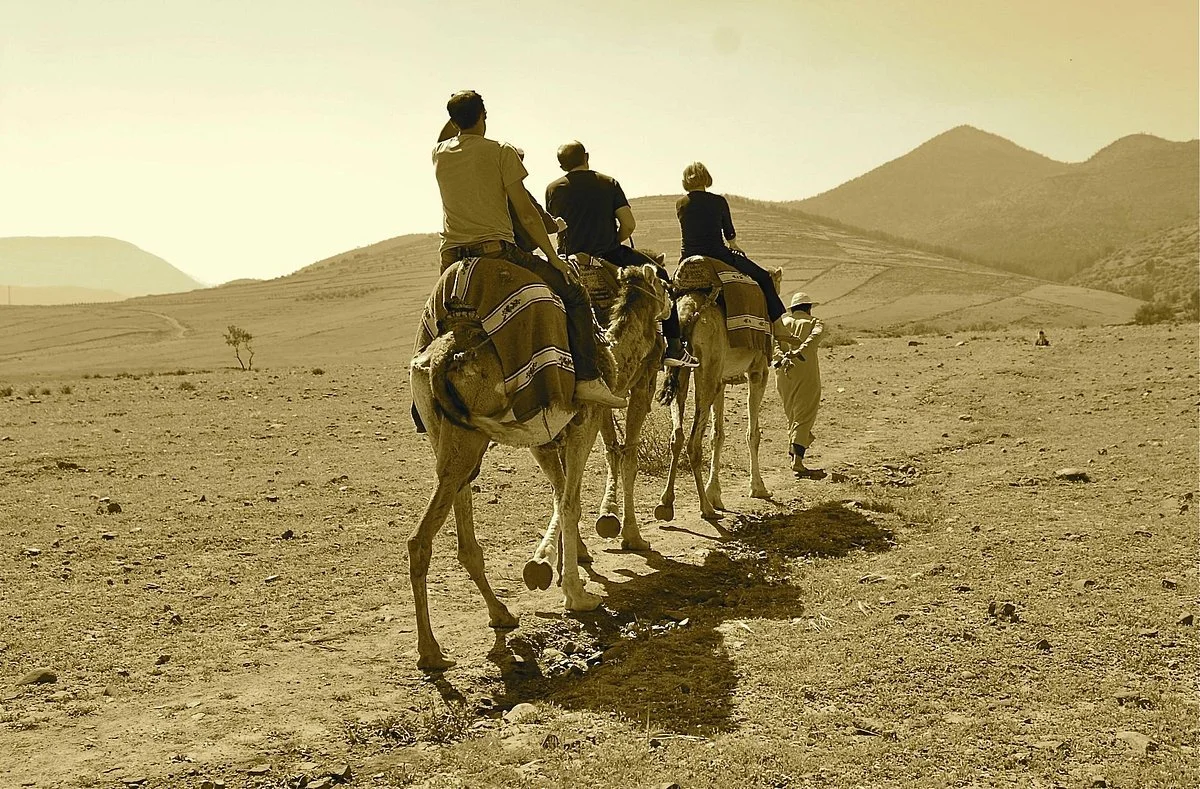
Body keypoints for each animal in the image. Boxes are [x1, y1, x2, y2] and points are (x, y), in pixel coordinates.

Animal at [407, 259, 671, 670]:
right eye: (661, 282)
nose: (672, 304)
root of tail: (437, 361)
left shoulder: (544, 436)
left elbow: (559, 493)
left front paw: (560, 566)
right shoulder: (583, 420)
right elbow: (570, 500)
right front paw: (578, 594)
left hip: (448, 435)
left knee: (463, 533)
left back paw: (500, 614)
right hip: (467, 439)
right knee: (420, 540)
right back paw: (431, 651)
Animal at [655, 264, 784, 522]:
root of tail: (688, 314)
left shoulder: (722, 379)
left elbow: (718, 435)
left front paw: (715, 493)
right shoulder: (758, 371)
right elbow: (753, 433)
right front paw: (758, 488)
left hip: (684, 369)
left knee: (677, 436)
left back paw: (666, 503)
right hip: (708, 370)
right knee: (693, 443)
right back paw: (706, 508)